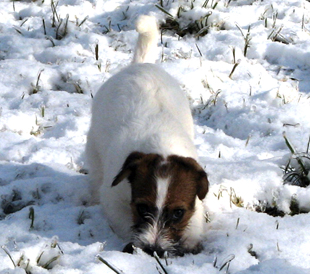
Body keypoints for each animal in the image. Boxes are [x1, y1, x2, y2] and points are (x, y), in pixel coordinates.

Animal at [86, 15, 209, 256]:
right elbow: (124, 221)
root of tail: (140, 64)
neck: (160, 146)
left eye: (178, 213)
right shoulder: (113, 199)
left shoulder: (196, 204)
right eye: (142, 207)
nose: (154, 249)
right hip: (93, 147)